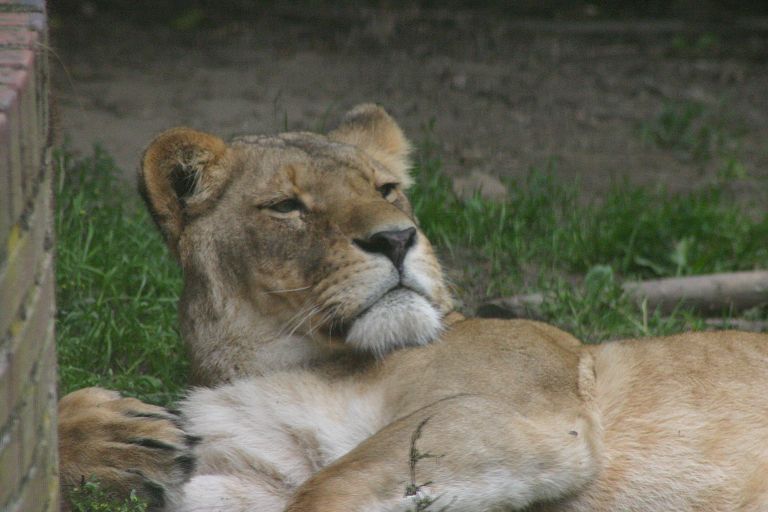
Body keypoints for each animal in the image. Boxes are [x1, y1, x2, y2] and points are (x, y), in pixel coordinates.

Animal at [58, 104, 768, 511]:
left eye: (386, 189)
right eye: (287, 207)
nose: (397, 238)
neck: (286, 359)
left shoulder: (522, 408)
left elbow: (329, 484)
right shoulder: (240, 478)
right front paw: (110, 437)